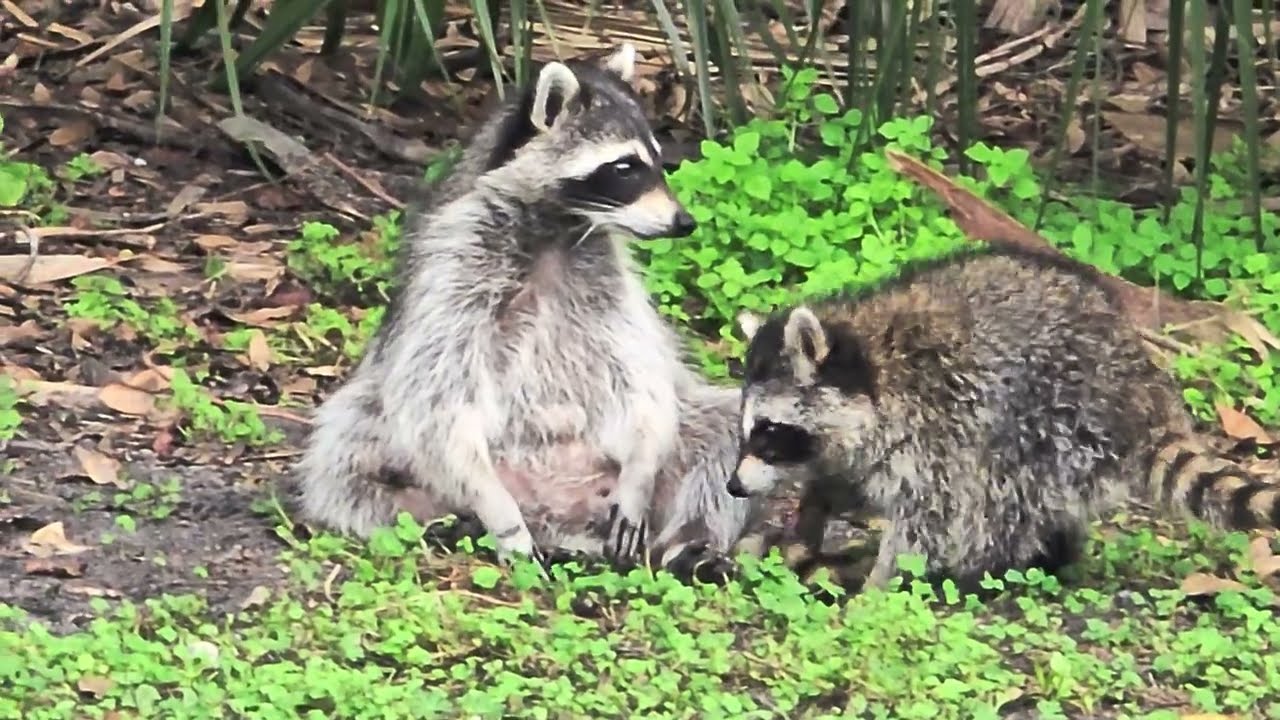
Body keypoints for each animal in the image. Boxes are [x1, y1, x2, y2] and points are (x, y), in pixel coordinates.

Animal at [294, 44, 764, 572]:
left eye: (659, 163)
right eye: (625, 168)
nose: (684, 223)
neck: (556, 226)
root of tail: (557, 512)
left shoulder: (607, 283)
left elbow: (642, 380)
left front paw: (640, 474)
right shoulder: (453, 271)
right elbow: (436, 399)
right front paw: (494, 507)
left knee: (725, 427)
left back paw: (692, 538)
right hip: (382, 435)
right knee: (345, 450)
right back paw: (440, 515)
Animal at [728, 246, 1280, 593]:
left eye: (770, 432)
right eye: (748, 428)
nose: (734, 486)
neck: (871, 368)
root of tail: (1142, 390)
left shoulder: (935, 429)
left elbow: (926, 519)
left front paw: (878, 587)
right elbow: (847, 478)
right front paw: (812, 512)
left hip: (1052, 420)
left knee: (1000, 497)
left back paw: (985, 568)